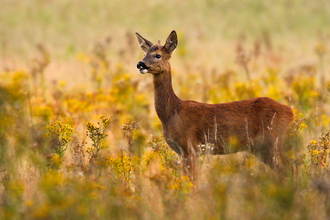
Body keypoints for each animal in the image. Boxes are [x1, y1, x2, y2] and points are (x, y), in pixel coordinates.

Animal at [135, 30, 296, 180]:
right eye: (145, 53)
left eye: (157, 55)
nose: (140, 64)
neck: (172, 112)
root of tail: (290, 111)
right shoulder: (183, 152)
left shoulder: (190, 147)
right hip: (261, 148)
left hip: (273, 141)